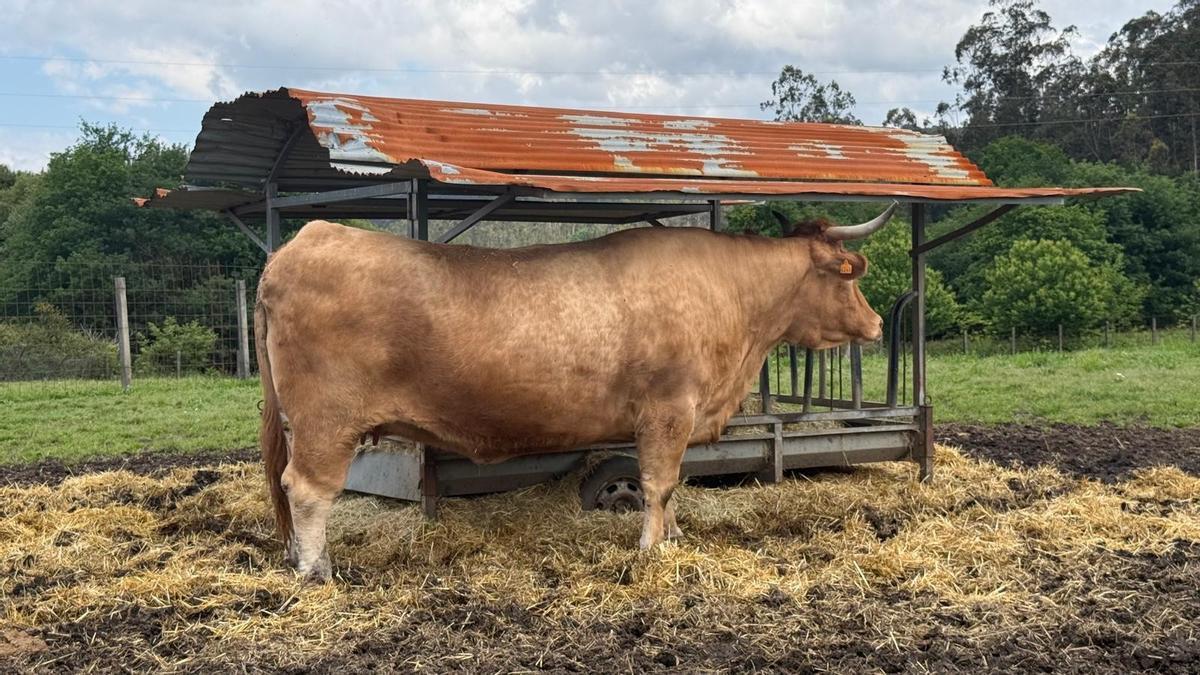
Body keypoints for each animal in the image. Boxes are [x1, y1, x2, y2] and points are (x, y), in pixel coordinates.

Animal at [255, 202, 896, 581]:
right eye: (849, 272)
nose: (877, 324)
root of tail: (302, 242)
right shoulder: (668, 408)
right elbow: (659, 482)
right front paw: (651, 550)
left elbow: (673, 484)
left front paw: (674, 537)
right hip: (326, 420)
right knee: (307, 489)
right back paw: (316, 571)